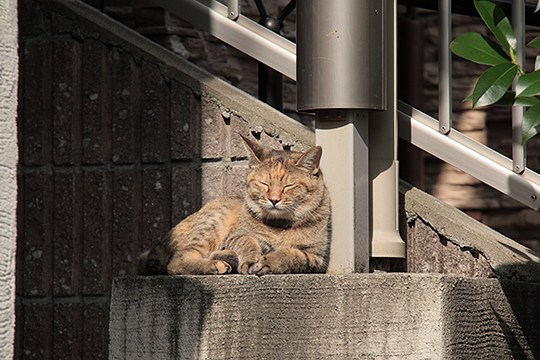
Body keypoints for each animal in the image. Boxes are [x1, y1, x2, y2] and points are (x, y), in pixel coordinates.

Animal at [137, 136, 332, 278]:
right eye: (264, 184)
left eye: (288, 186)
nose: (274, 200)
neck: (280, 226)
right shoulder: (237, 235)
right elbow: (248, 241)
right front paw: (252, 260)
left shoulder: (316, 257)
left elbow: (291, 255)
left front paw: (268, 261)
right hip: (211, 225)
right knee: (176, 262)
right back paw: (216, 265)